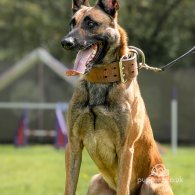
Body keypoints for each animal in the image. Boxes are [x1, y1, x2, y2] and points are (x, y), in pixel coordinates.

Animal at [61, 0, 174, 194]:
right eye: (72, 23)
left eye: (91, 23)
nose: (66, 42)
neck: (100, 79)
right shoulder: (73, 145)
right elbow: (69, 187)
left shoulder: (125, 149)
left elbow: (123, 186)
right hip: (95, 181)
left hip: (151, 183)